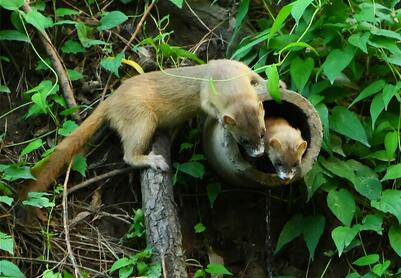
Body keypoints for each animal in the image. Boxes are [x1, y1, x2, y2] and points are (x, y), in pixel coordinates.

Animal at [21, 59, 266, 198]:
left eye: (262, 133)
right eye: (243, 141)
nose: (259, 154)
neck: (224, 74)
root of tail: (111, 98)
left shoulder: (237, 65)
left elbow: (256, 74)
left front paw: (270, 83)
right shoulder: (206, 91)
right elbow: (208, 105)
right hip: (141, 119)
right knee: (129, 154)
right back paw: (154, 160)